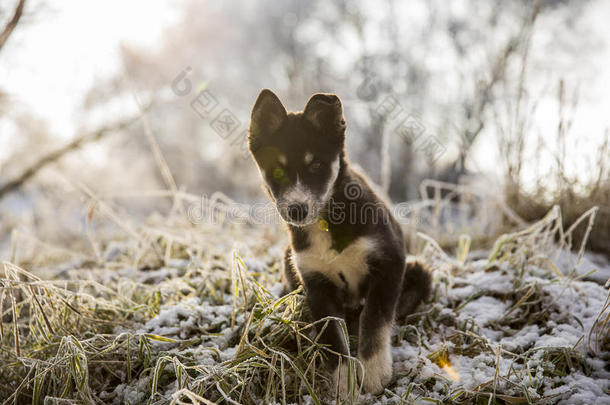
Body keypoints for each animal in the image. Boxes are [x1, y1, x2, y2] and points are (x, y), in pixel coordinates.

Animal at [246, 89, 428, 394]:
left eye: (317, 165)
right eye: (277, 170)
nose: (297, 210)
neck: (326, 219)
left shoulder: (389, 261)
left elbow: (375, 319)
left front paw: (373, 371)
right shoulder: (315, 280)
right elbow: (331, 334)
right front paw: (345, 380)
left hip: (419, 272)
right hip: (288, 261)